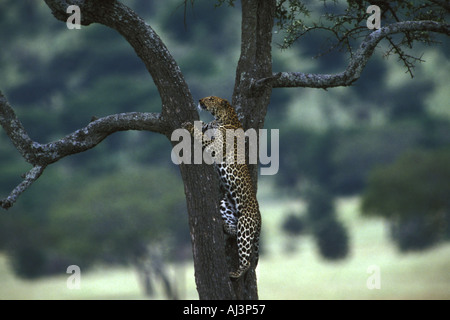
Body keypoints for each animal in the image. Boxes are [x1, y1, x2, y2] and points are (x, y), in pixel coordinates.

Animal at [182, 96, 262, 278]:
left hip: (245, 225)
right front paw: (191, 122)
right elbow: (204, 125)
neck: (223, 119)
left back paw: (236, 273)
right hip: (225, 204)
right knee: (232, 230)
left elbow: (201, 136)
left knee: (246, 258)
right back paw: (225, 227)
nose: (200, 100)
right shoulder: (211, 126)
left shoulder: (215, 146)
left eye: (211, 99)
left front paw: (189, 126)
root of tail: (259, 217)